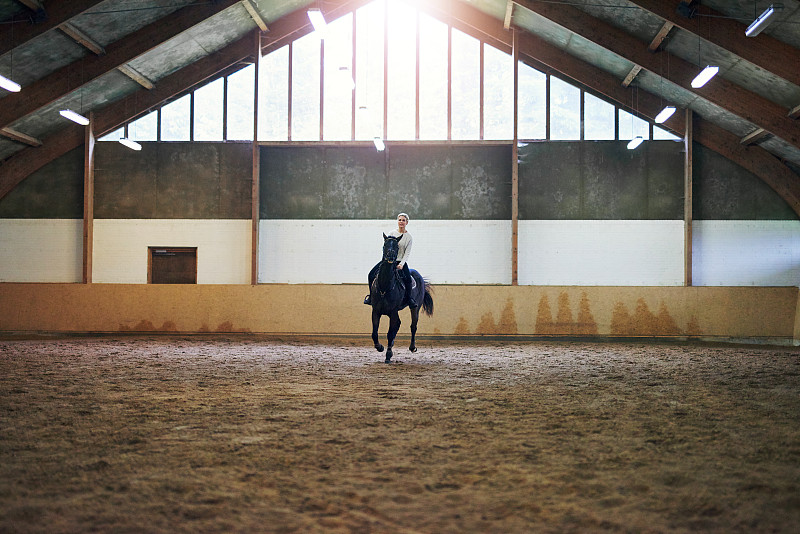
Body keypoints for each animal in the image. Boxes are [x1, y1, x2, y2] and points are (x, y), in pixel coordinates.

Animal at [370, 234, 434, 364]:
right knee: (398, 325)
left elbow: (390, 333)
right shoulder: (376, 311)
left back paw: (412, 347)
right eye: (385, 244)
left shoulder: (393, 312)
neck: (384, 287)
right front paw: (380, 347)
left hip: (415, 308)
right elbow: (374, 333)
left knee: (413, 326)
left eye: (397, 246)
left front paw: (388, 355)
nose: (390, 256)